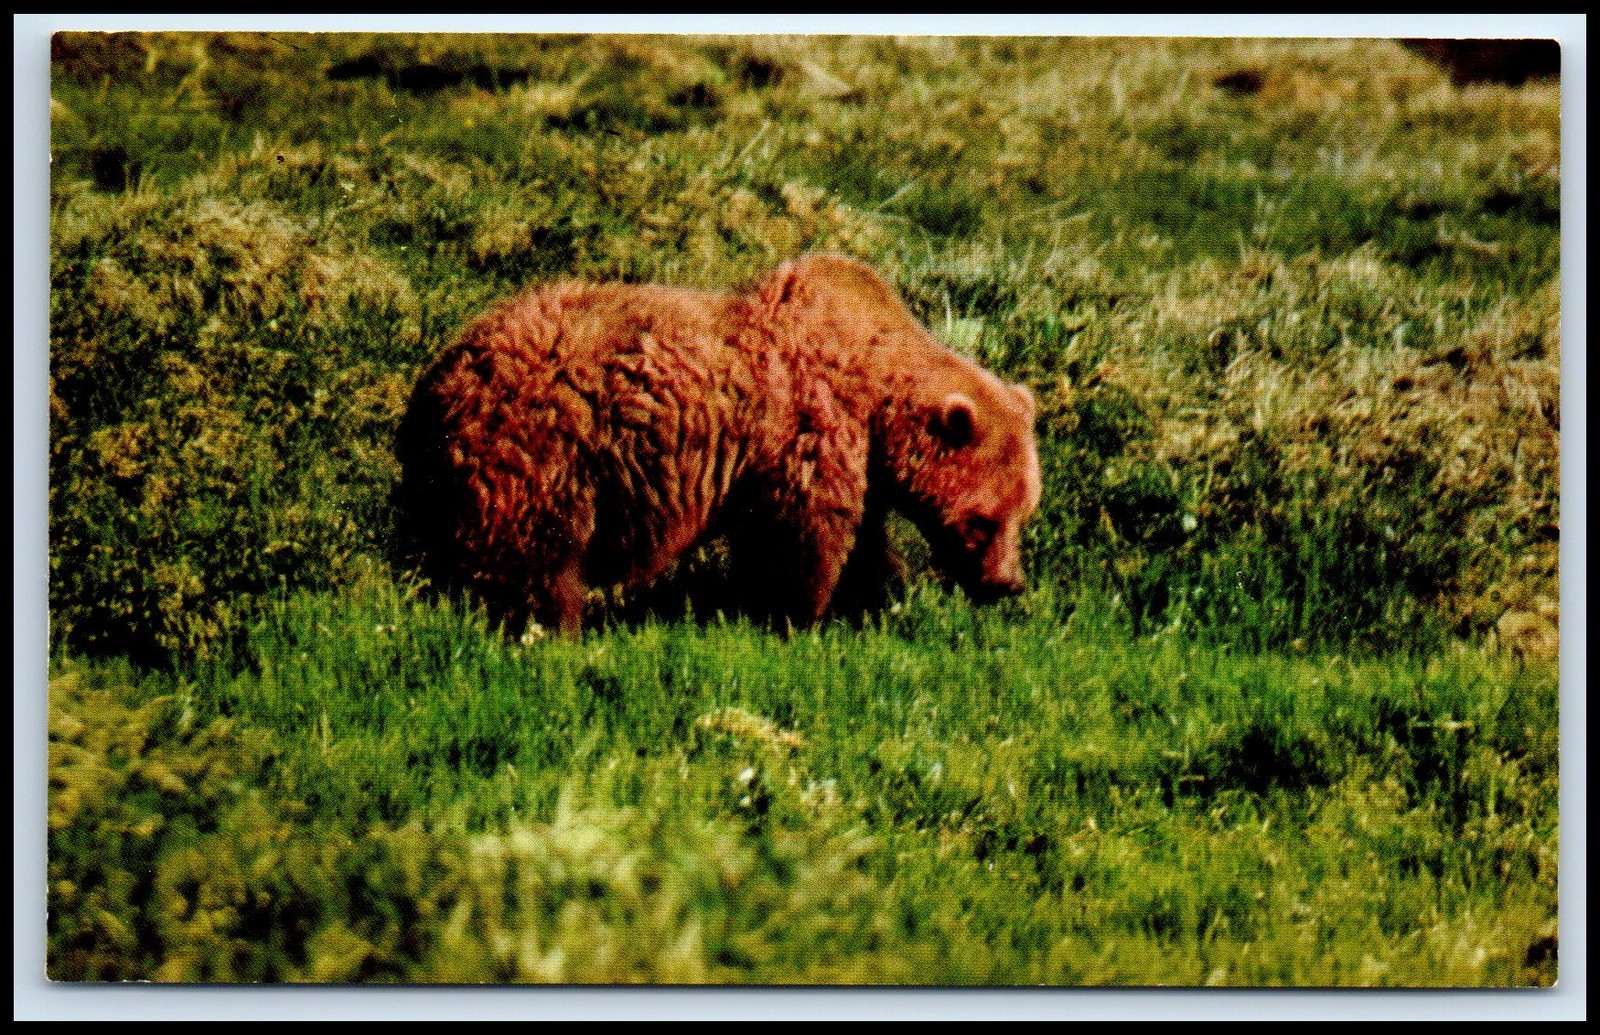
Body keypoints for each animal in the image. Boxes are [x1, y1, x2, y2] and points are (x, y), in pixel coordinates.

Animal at [394, 254, 1041, 636]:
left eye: (1025, 512)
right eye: (983, 521)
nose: (1006, 584)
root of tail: (440, 377)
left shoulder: (859, 465)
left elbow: (862, 540)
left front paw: (877, 600)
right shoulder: (807, 429)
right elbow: (803, 538)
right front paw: (795, 617)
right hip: (546, 444)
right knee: (534, 552)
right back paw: (548, 625)